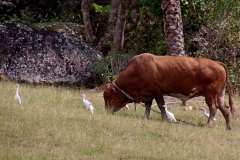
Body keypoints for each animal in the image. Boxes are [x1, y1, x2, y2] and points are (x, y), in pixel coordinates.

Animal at [103, 53, 234, 129]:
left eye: (107, 96)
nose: (107, 111)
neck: (137, 70)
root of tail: (217, 63)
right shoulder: (148, 94)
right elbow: (148, 107)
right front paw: (146, 117)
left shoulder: (157, 92)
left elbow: (161, 106)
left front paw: (164, 118)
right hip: (219, 94)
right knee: (224, 108)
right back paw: (228, 126)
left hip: (210, 94)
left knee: (213, 108)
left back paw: (208, 124)